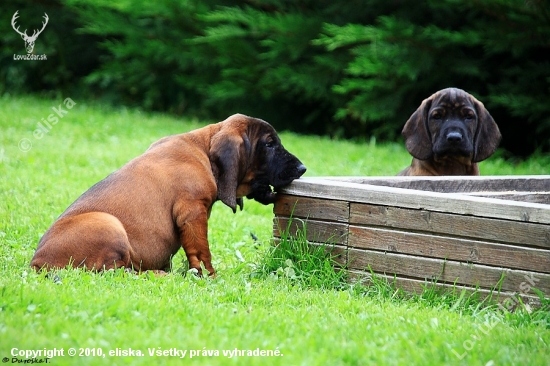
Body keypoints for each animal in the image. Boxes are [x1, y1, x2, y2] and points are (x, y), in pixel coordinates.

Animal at [30, 113, 308, 276]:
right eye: (269, 144)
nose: (302, 168)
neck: (204, 149)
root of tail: (36, 262)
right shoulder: (193, 212)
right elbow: (201, 251)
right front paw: (208, 276)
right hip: (109, 224)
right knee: (115, 272)